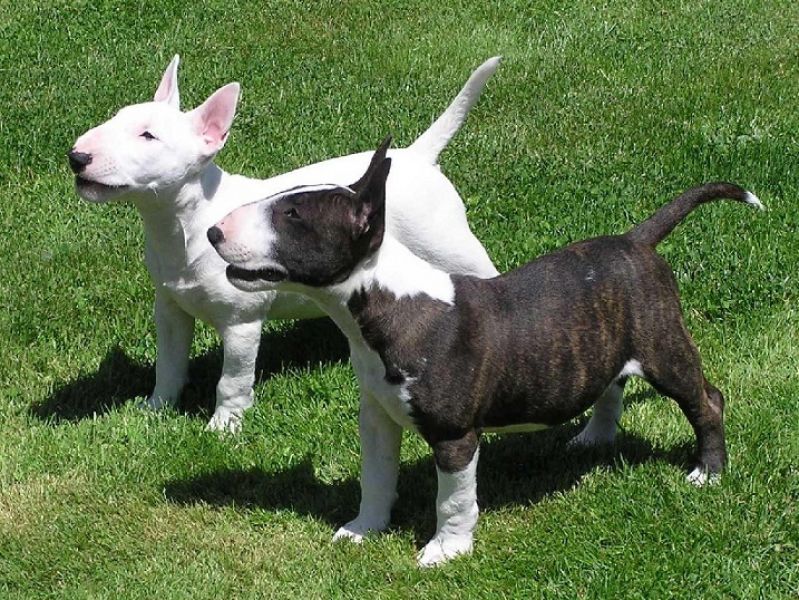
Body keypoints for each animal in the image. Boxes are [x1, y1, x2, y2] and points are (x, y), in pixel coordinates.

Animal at [68, 56, 500, 431]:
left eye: (148, 135)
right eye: (116, 118)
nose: (76, 157)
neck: (185, 223)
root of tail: (417, 157)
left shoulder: (243, 322)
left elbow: (232, 380)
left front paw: (223, 428)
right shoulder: (170, 307)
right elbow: (169, 364)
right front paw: (155, 408)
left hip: (453, 246)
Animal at [208, 139, 763, 565]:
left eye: (292, 215)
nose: (213, 232)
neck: (389, 302)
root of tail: (635, 241)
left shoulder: (455, 436)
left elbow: (452, 500)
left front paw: (445, 551)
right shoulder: (377, 417)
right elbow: (376, 477)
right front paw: (363, 528)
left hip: (662, 345)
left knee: (707, 400)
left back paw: (708, 472)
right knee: (610, 386)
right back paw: (594, 438)